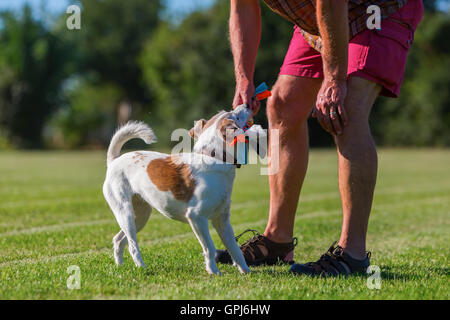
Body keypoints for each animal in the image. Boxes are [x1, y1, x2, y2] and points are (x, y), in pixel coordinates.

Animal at [101, 104, 258, 274]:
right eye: (236, 116)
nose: (247, 104)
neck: (214, 158)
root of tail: (114, 160)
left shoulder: (222, 220)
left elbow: (234, 249)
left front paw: (246, 271)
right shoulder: (196, 217)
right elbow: (209, 247)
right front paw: (214, 272)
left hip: (140, 215)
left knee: (119, 240)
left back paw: (120, 267)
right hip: (125, 212)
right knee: (132, 245)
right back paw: (142, 268)